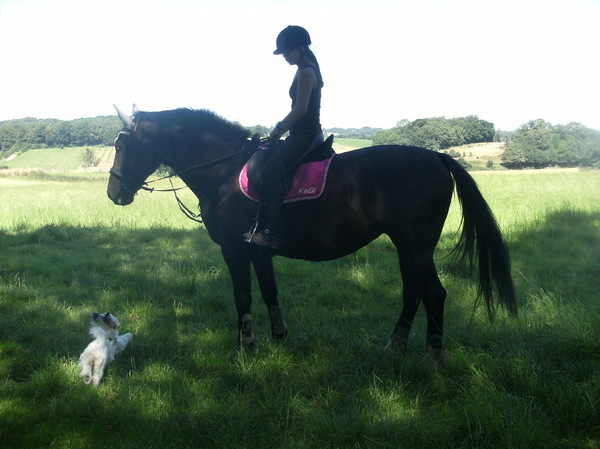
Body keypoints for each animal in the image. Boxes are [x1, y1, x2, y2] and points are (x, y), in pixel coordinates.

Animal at [106, 105, 516, 360]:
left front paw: (245, 345)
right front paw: (279, 337)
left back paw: (436, 357)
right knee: (414, 291)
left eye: (121, 143)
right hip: (409, 247)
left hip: (415, 245)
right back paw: (395, 346)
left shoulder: (234, 250)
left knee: (433, 293)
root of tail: (437, 157)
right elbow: (269, 291)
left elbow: (243, 297)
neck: (225, 171)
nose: (114, 192)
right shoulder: (258, 250)